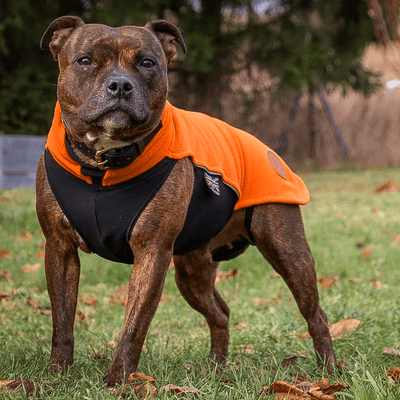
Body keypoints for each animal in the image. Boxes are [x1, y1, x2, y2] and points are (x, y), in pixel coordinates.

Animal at [37, 16, 336, 388]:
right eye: (85, 60)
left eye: (147, 63)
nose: (119, 85)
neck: (103, 163)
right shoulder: (59, 247)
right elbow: (62, 319)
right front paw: (57, 374)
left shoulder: (152, 253)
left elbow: (134, 325)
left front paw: (118, 380)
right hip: (192, 271)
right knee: (220, 313)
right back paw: (216, 369)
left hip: (288, 252)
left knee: (315, 313)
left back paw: (330, 371)